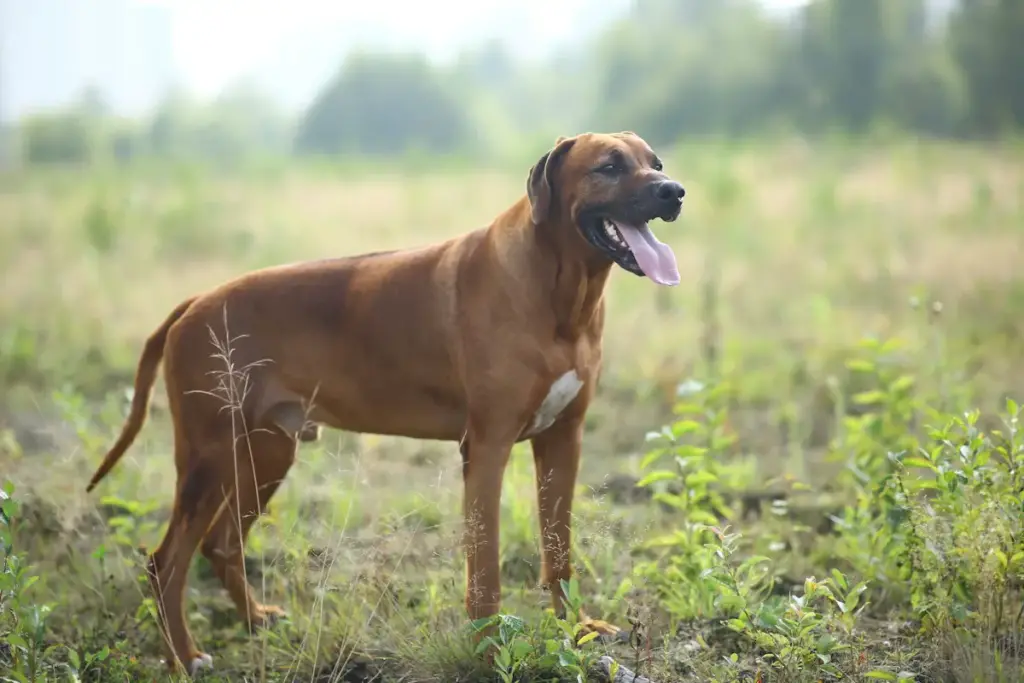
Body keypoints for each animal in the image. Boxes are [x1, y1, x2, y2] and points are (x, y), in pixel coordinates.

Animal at [83, 131, 684, 675]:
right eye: (609, 166)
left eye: (656, 162)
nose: (675, 191)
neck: (561, 293)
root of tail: (193, 304)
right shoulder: (486, 448)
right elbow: (485, 570)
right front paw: (488, 652)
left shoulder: (564, 440)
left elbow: (559, 553)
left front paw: (575, 629)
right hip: (208, 458)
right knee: (166, 563)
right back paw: (185, 657)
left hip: (265, 454)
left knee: (222, 544)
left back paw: (254, 621)